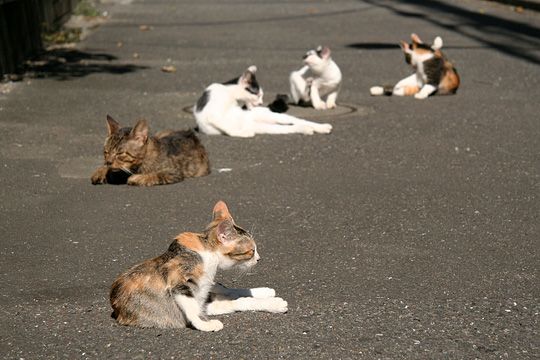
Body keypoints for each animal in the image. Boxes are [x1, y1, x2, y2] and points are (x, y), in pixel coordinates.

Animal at [108, 201, 286, 330]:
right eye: (252, 250)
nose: (259, 259)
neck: (209, 255)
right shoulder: (177, 280)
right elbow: (194, 308)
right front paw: (205, 325)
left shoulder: (204, 297)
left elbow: (238, 299)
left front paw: (270, 300)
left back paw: (264, 291)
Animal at [192, 65, 332, 137]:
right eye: (258, 95)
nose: (260, 103)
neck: (230, 93)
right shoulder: (213, 115)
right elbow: (227, 127)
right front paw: (242, 133)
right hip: (265, 127)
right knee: (290, 127)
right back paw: (307, 130)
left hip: (274, 117)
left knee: (298, 121)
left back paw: (322, 127)